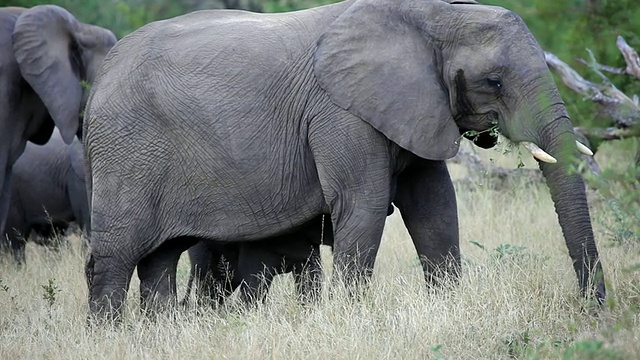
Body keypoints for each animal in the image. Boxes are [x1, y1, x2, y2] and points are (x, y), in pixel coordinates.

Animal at [84, 0, 604, 320]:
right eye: (494, 81)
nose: (593, 309)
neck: (432, 15)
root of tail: (104, 70)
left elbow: (435, 206)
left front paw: (450, 309)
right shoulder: (340, 112)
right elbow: (364, 204)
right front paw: (352, 317)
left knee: (159, 258)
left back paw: (160, 332)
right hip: (124, 151)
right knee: (114, 257)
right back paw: (111, 336)